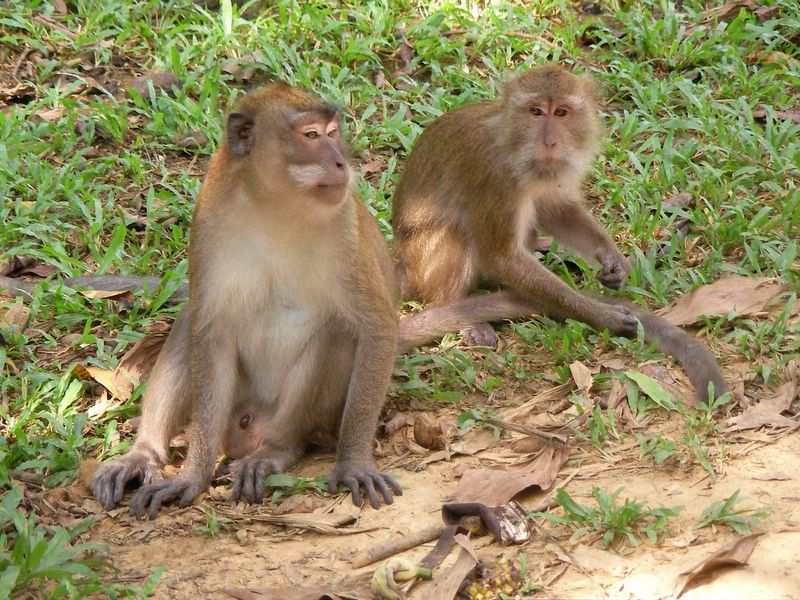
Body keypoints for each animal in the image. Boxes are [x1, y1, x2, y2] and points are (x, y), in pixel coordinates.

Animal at [89, 83, 408, 518]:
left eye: (332, 132)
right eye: (311, 135)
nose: (341, 162)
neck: (274, 206)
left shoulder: (345, 228)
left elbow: (375, 326)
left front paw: (354, 462)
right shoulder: (209, 218)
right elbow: (211, 329)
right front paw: (192, 476)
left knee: (337, 333)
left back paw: (274, 452)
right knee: (190, 320)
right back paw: (145, 455)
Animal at [391, 64, 729, 403]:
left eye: (562, 112)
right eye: (536, 112)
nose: (550, 142)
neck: (515, 147)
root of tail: (402, 263)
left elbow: (555, 210)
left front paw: (612, 259)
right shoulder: (495, 176)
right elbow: (503, 256)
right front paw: (600, 315)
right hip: (423, 262)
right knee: (459, 232)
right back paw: (458, 307)